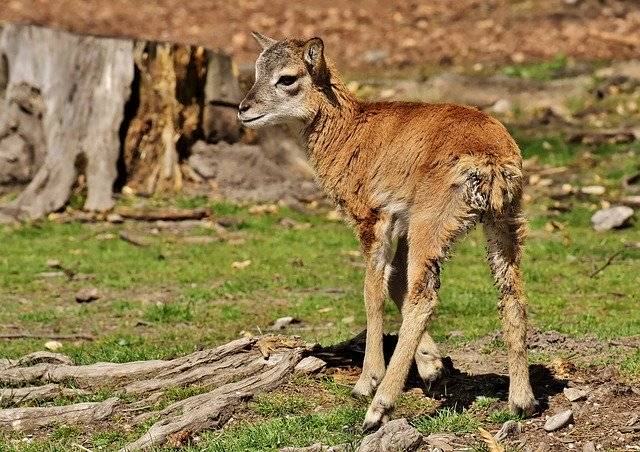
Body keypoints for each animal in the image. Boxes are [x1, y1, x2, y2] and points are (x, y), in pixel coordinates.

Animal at [238, 32, 536, 430]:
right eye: (257, 70)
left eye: (287, 78)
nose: (244, 109)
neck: (349, 132)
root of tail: (490, 162)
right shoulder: (404, 221)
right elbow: (394, 282)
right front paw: (432, 369)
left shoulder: (373, 218)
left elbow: (373, 290)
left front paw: (367, 382)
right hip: (504, 220)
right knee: (511, 294)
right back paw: (521, 402)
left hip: (433, 221)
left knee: (425, 298)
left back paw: (377, 409)